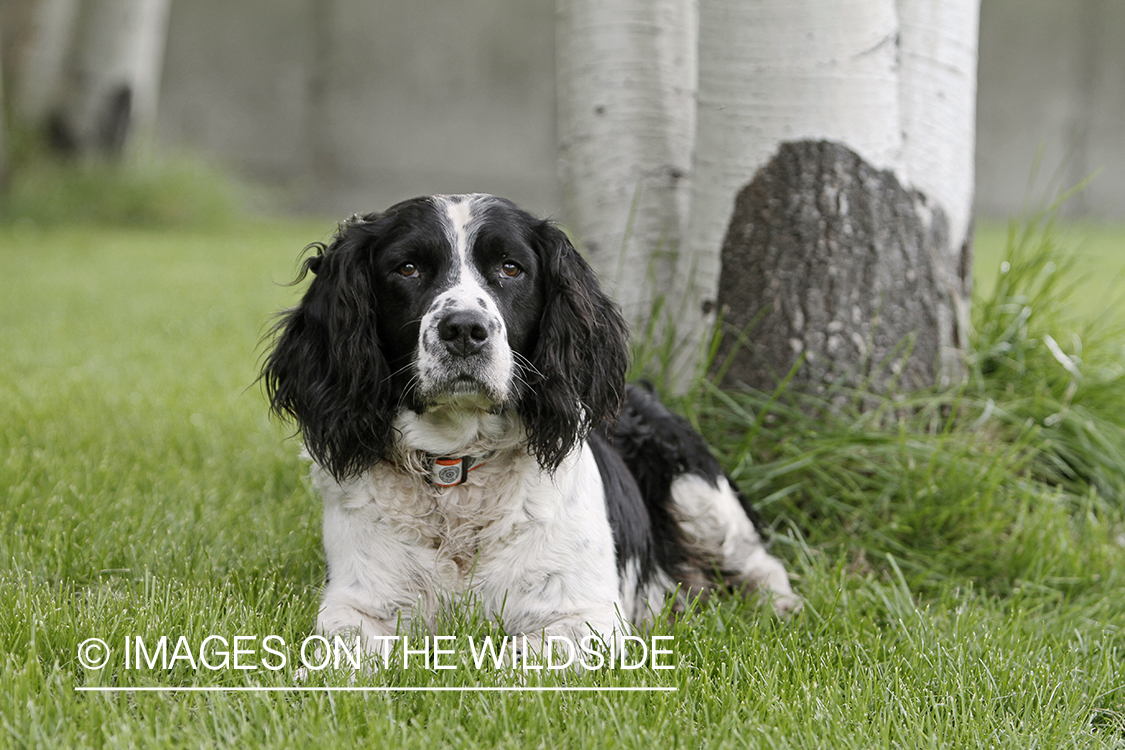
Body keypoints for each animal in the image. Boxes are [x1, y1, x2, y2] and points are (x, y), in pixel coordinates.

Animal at [261, 195, 801, 661]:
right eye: (407, 268)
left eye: (510, 267)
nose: (464, 330)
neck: (458, 467)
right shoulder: (358, 603)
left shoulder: (584, 616)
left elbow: (511, 660)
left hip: (695, 488)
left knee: (759, 561)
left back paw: (781, 608)